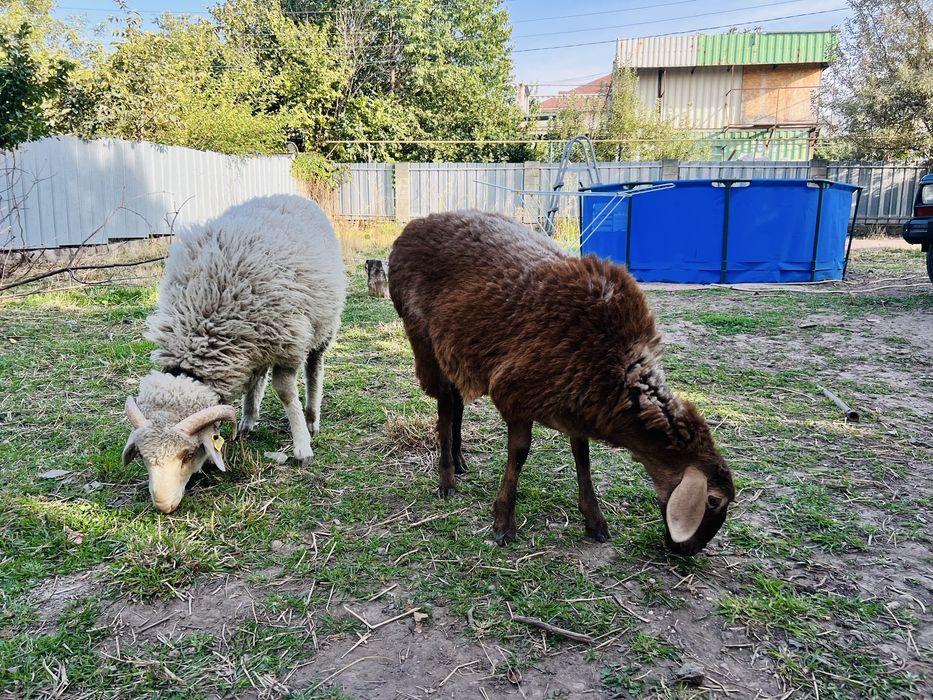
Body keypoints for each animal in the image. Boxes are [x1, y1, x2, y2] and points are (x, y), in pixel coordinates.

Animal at [122, 194, 346, 513]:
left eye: (188, 454)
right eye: (142, 456)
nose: (163, 505)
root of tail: (290, 196)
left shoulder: (287, 341)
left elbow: (286, 394)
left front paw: (302, 447)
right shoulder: (247, 342)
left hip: (321, 323)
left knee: (314, 368)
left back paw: (312, 417)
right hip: (257, 344)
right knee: (256, 378)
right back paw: (248, 418)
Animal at [388, 211, 735, 555]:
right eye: (713, 500)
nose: (689, 551)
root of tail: (416, 224)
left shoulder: (576, 398)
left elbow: (582, 454)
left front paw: (595, 520)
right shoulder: (517, 392)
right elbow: (519, 452)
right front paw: (503, 523)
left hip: (455, 349)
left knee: (456, 400)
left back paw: (459, 461)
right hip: (423, 339)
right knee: (446, 406)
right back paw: (447, 479)